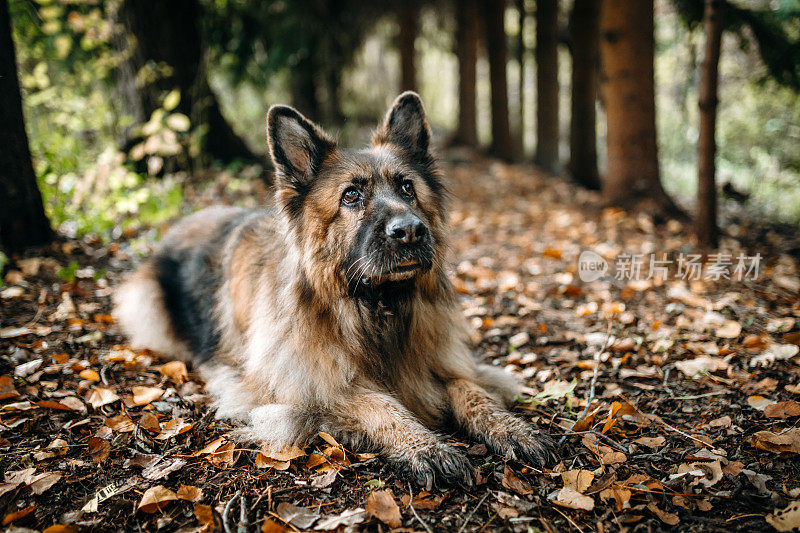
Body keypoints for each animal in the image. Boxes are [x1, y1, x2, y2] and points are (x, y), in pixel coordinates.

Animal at [115, 90, 556, 486]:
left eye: (408, 189)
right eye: (351, 196)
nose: (410, 231)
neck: (374, 307)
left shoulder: (443, 360)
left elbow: (471, 389)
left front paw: (511, 427)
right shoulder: (297, 388)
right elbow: (375, 401)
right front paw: (422, 445)